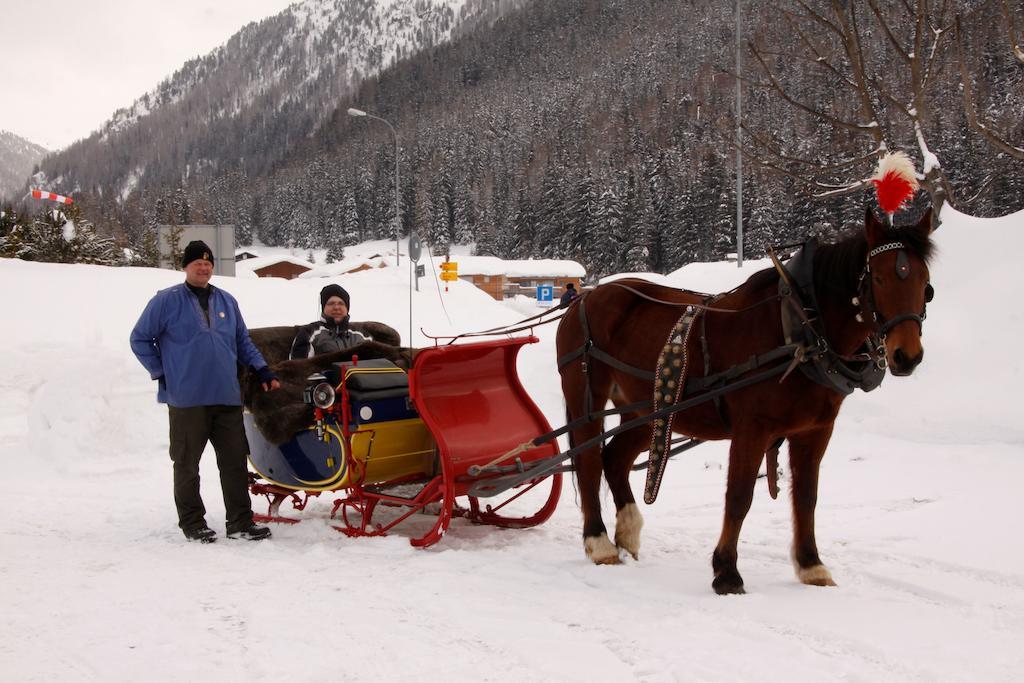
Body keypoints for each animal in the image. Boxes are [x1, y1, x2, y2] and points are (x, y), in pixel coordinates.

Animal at [557, 206, 933, 593]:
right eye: (879, 279)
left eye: (925, 284)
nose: (907, 356)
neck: (800, 328)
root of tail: (586, 298)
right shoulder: (752, 428)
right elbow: (739, 496)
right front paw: (726, 571)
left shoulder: (815, 430)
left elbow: (807, 497)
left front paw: (811, 565)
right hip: (588, 398)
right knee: (588, 460)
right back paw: (599, 542)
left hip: (648, 410)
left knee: (614, 458)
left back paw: (628, 532)